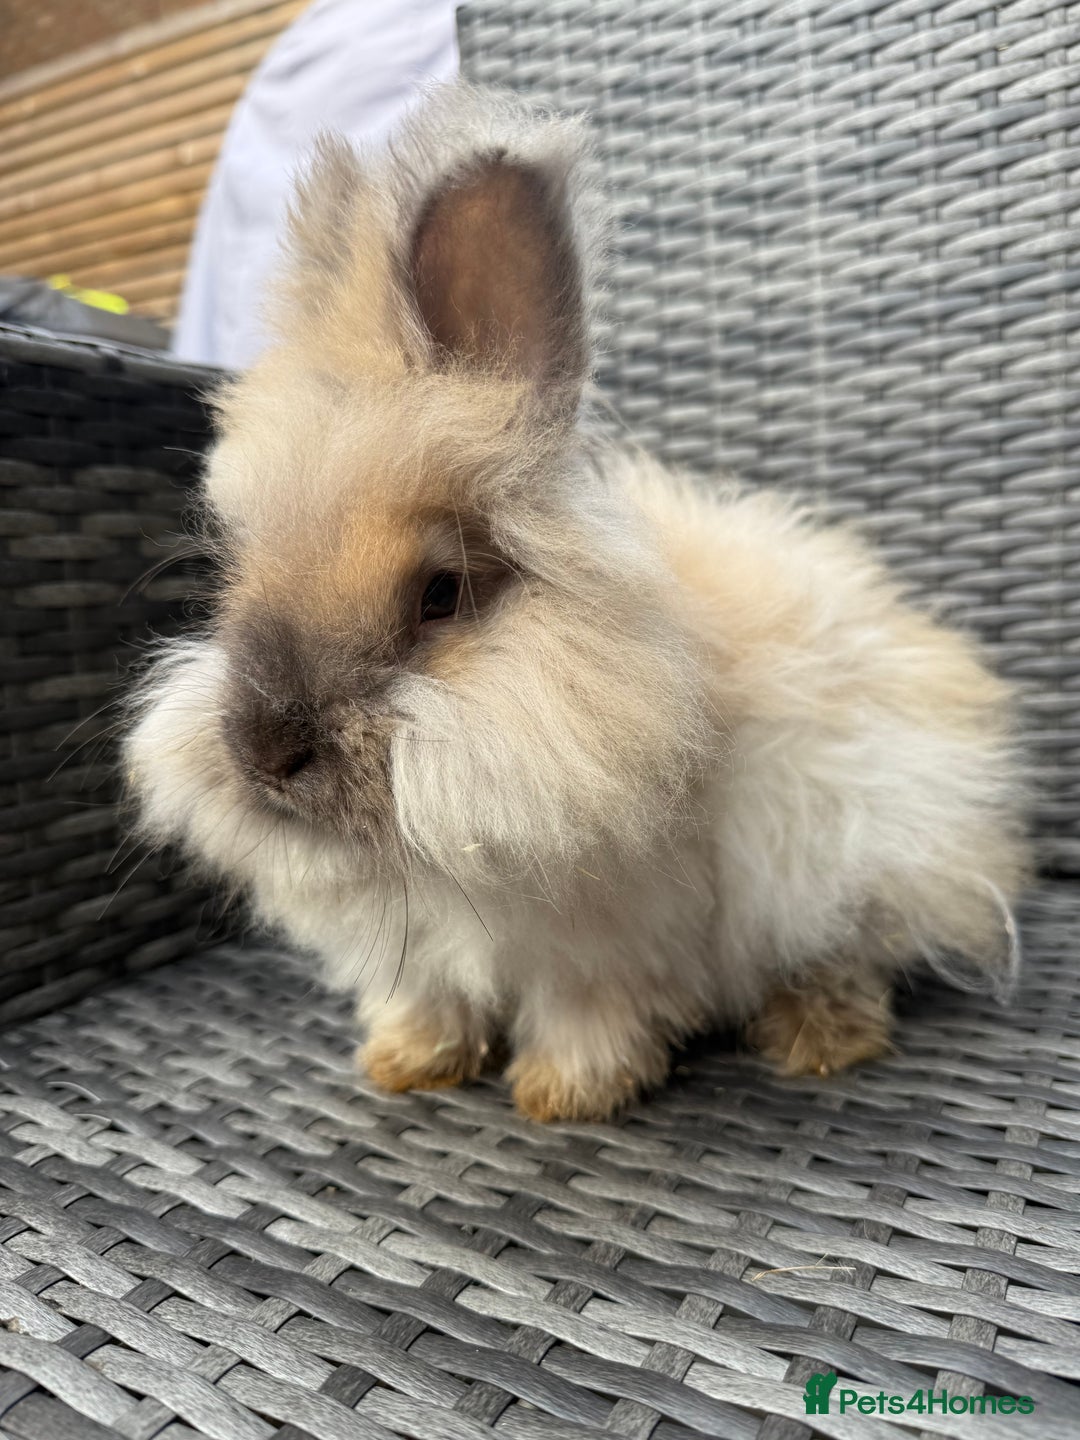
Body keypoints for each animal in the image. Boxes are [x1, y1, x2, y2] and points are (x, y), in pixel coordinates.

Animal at [125, 83, 1030, 1123]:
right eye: (239, 568)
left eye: (442, 594)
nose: (265, 753)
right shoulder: (420, 958)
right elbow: (428, 1002)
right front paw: (404, 1064)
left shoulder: (610, 947)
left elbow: (588, 1015)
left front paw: (565, 1095)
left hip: (861, 852)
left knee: (853, 953)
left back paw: (819, 1038)